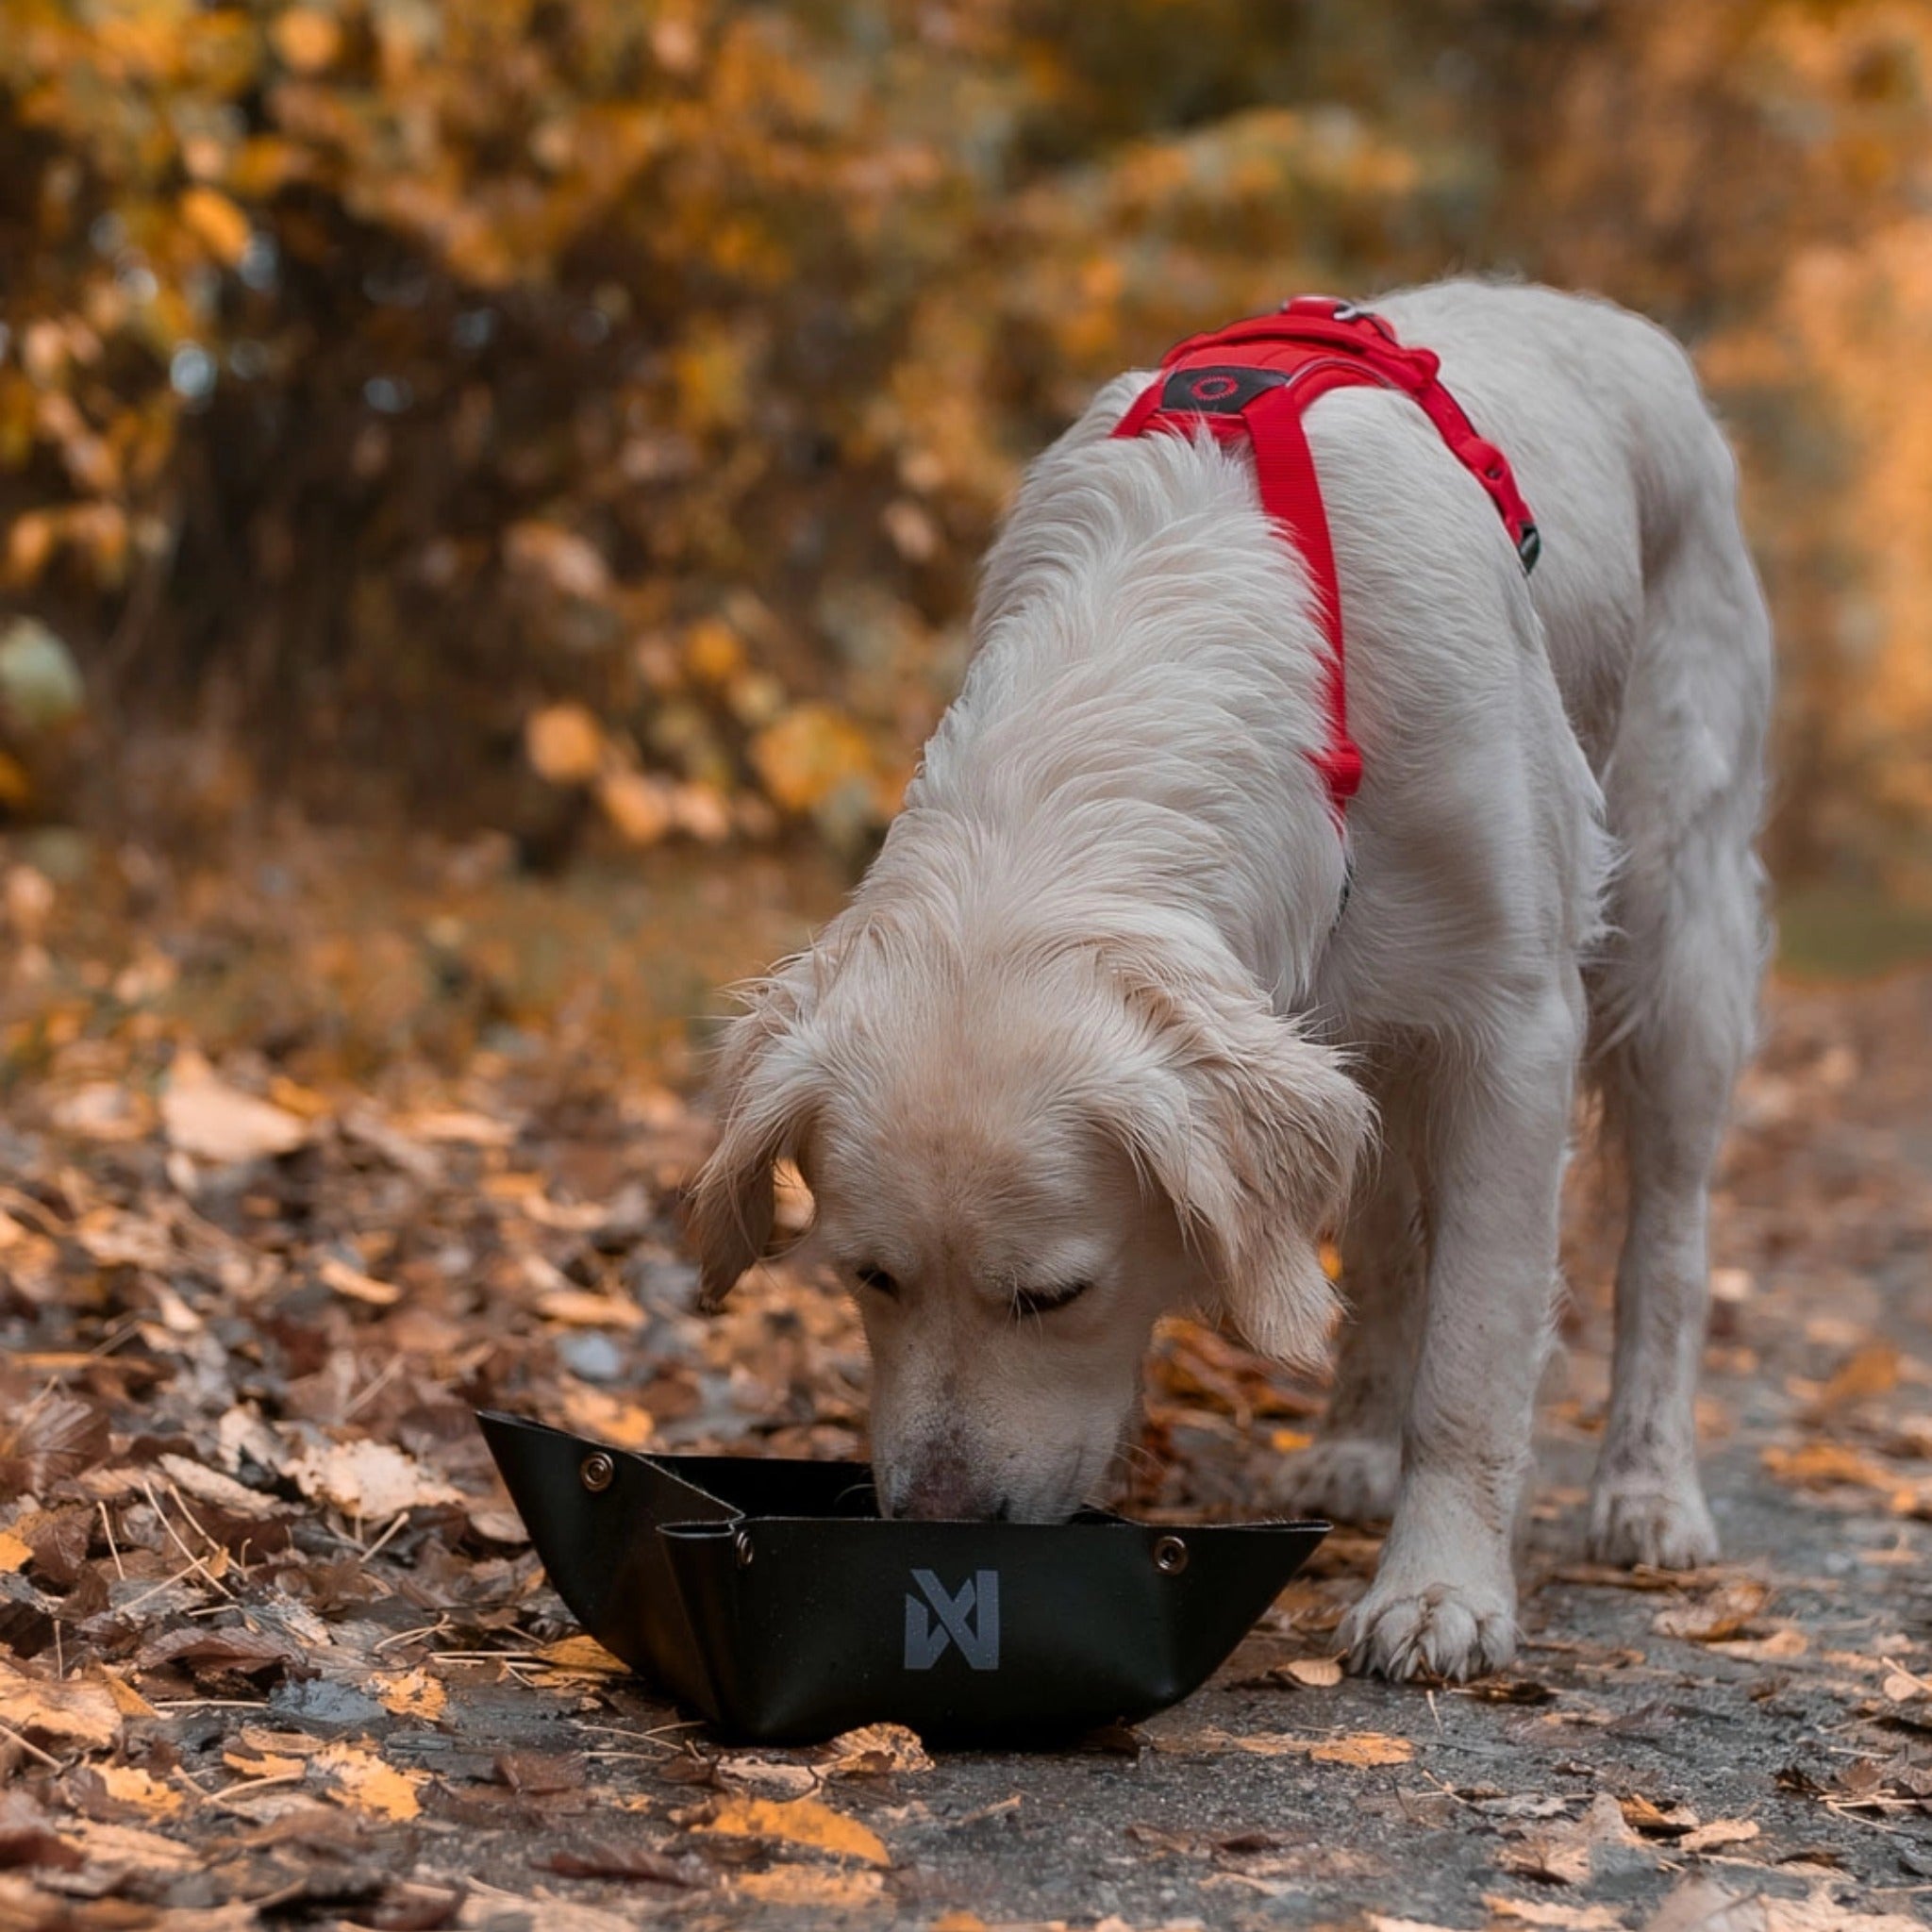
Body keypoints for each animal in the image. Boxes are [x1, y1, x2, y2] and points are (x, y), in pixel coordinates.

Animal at [688, 279, 1769, 1684]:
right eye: (870, 1278)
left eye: (1055, 1293)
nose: (937, 1524)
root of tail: (1604, 317)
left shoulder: (1515, 1026)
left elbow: (1477, 1350)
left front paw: (1441, 1588)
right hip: (1369, 1044)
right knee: (1389, 1242)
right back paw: (1357, 1445)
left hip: (1673, 936)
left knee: (1667, 1241)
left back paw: (1647, 1488)